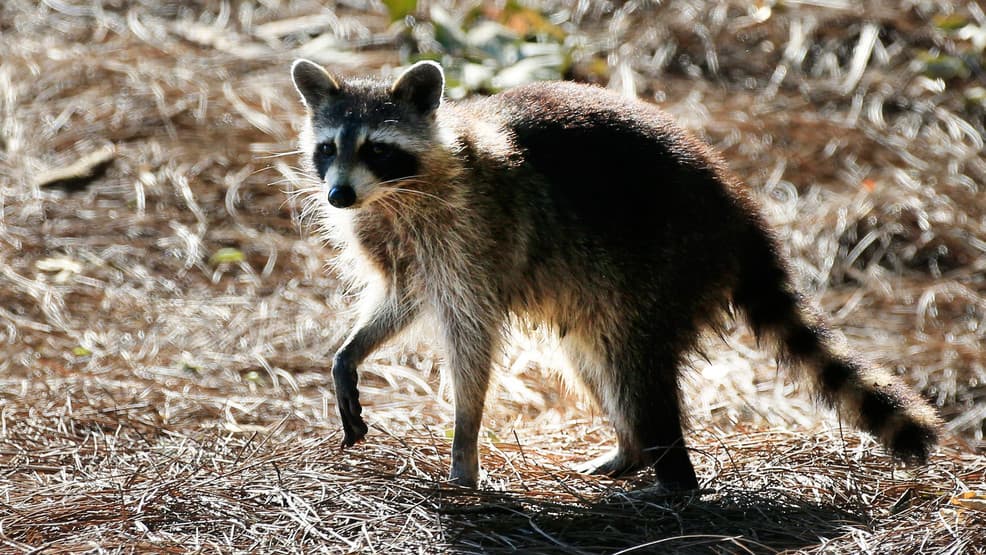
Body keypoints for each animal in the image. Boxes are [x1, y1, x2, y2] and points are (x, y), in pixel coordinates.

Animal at [289, 59, 940, 490]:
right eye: (328, 148)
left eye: (377, 149)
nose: (339, 195)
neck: (393, 196)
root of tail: (739, 210)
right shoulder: (398, 244)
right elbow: (401, 299)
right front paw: (350, 353)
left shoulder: (472, 237)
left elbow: (471, 342)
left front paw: (465, 440)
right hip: (600, 291)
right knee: (592, 358)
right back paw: (631, 451)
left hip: (667, 263)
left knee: (636, 369)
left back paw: (675, 477)